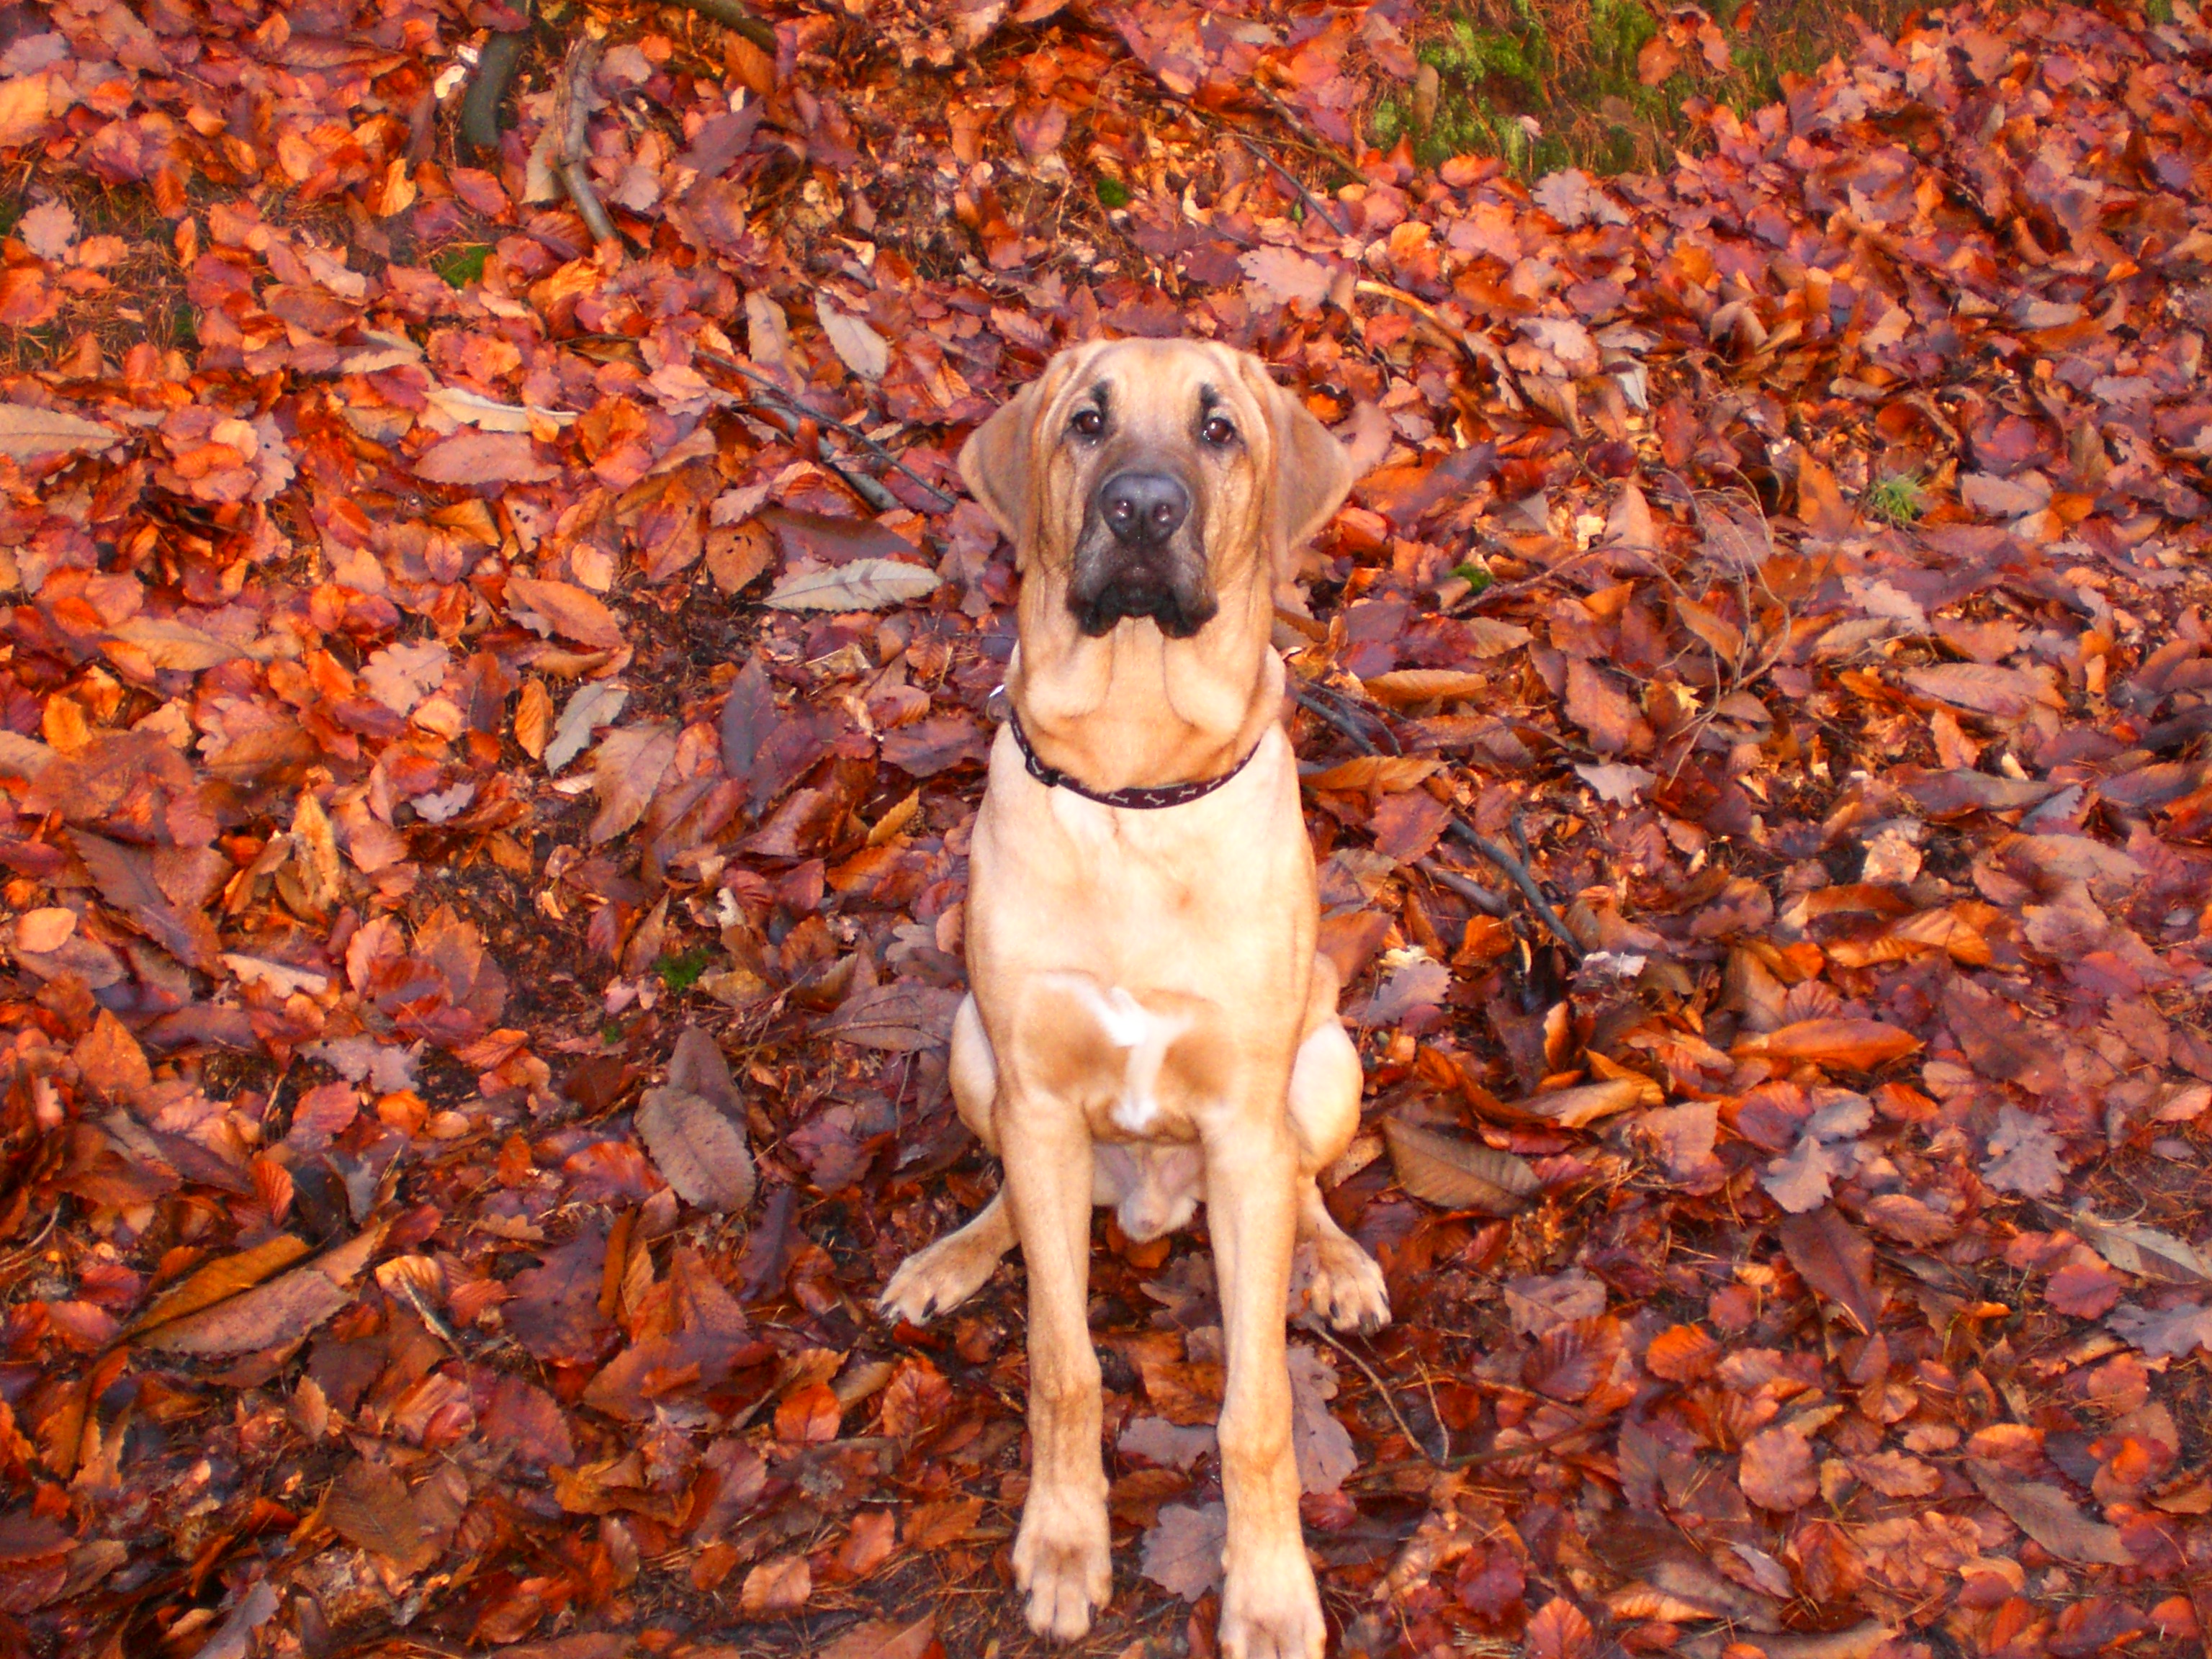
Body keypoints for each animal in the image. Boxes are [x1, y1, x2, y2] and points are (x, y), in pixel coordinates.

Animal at [876, 341, 1380, 1659]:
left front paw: (1270, 1594)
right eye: (1088, 422)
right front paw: (1063, 1542)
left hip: (1327, 1062)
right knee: (1012, 1194)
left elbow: (1256, 1410)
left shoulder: (1246, 1127)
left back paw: (1338, 1260)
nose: (1141, 511)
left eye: (1219, 429)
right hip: (975, 1051)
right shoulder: (1041, 1094)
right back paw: (952, 1254)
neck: (1135, 775)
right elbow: (1064, 1364)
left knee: (1310, 1180)